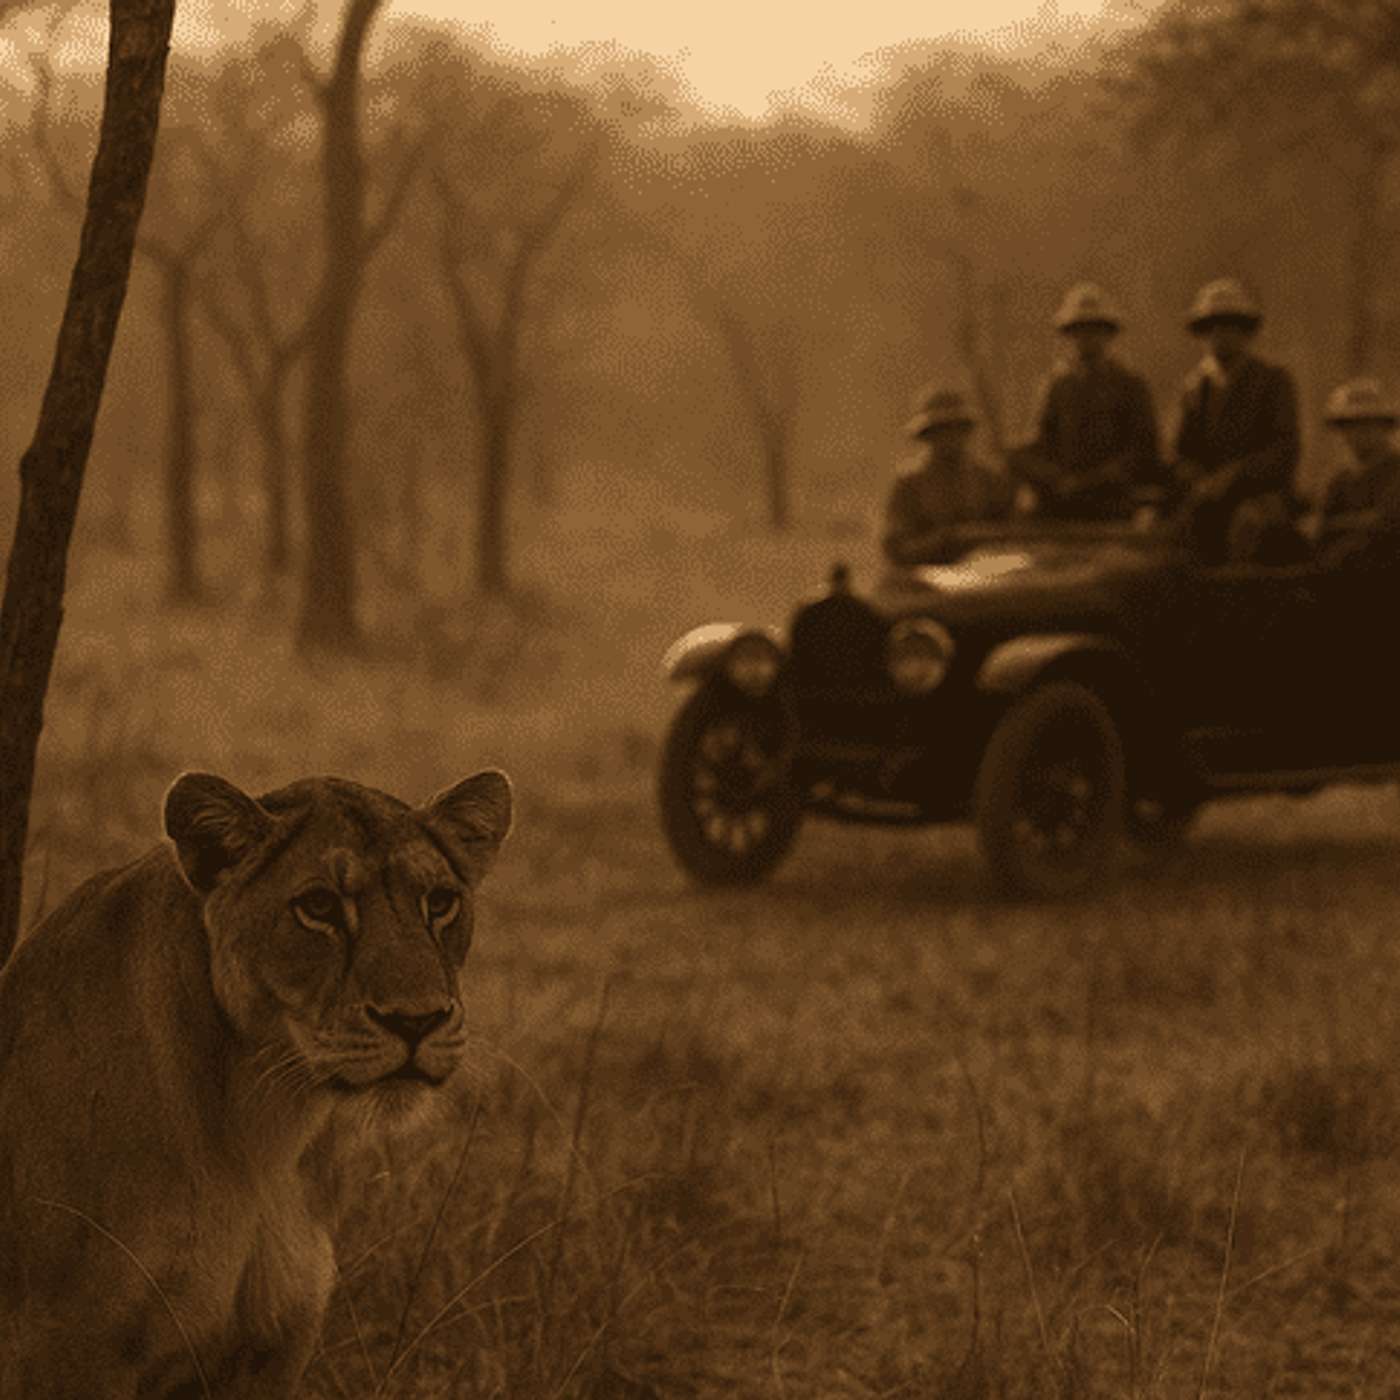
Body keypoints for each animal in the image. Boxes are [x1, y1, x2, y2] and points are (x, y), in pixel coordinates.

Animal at [0, 767, 512, 1398]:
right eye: (318, 906)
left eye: (440, 902)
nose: (416, 1021)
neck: (265, 1132)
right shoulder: (71, 1345)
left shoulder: (272, 1347)